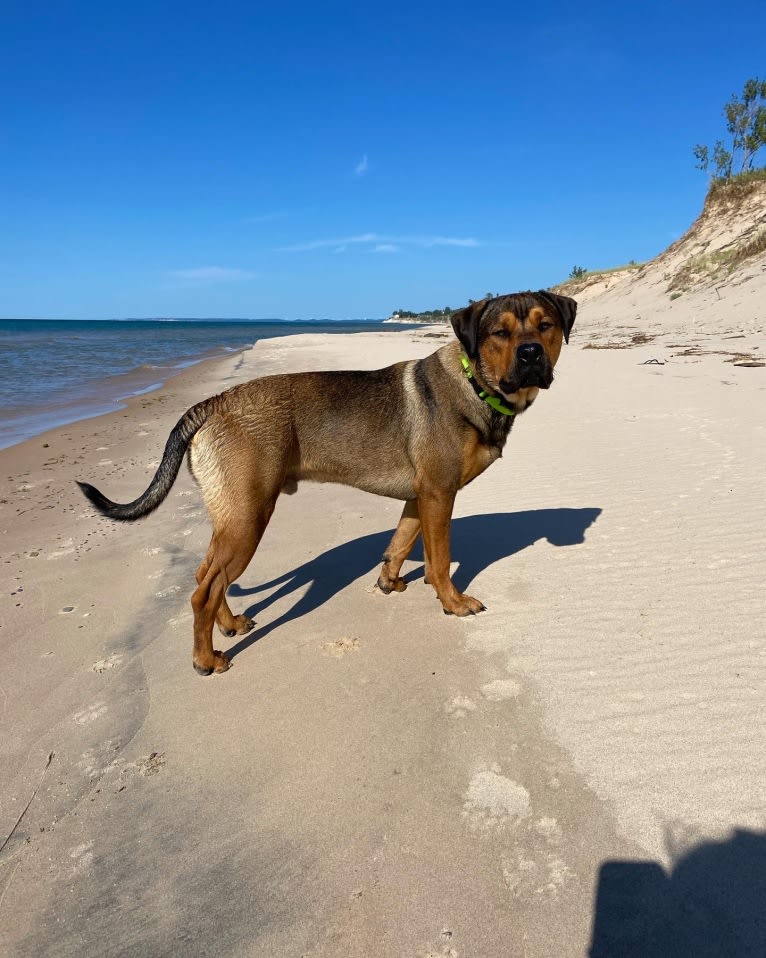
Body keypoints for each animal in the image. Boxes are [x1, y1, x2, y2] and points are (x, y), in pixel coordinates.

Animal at [78, 292, 576, 676]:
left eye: (545, 326)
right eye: (499, 334)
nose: (531, 354)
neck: (475, 384)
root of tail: (212, 401)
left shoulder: (420, 496)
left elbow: (400, 542)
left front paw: (388, 582)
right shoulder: (438, 492)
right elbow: (438, 561)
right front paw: (452, 603)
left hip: (231, 517)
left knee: (207, 577)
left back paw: (230, 625)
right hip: (248, 519)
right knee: (203, 591)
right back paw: (206, 660)